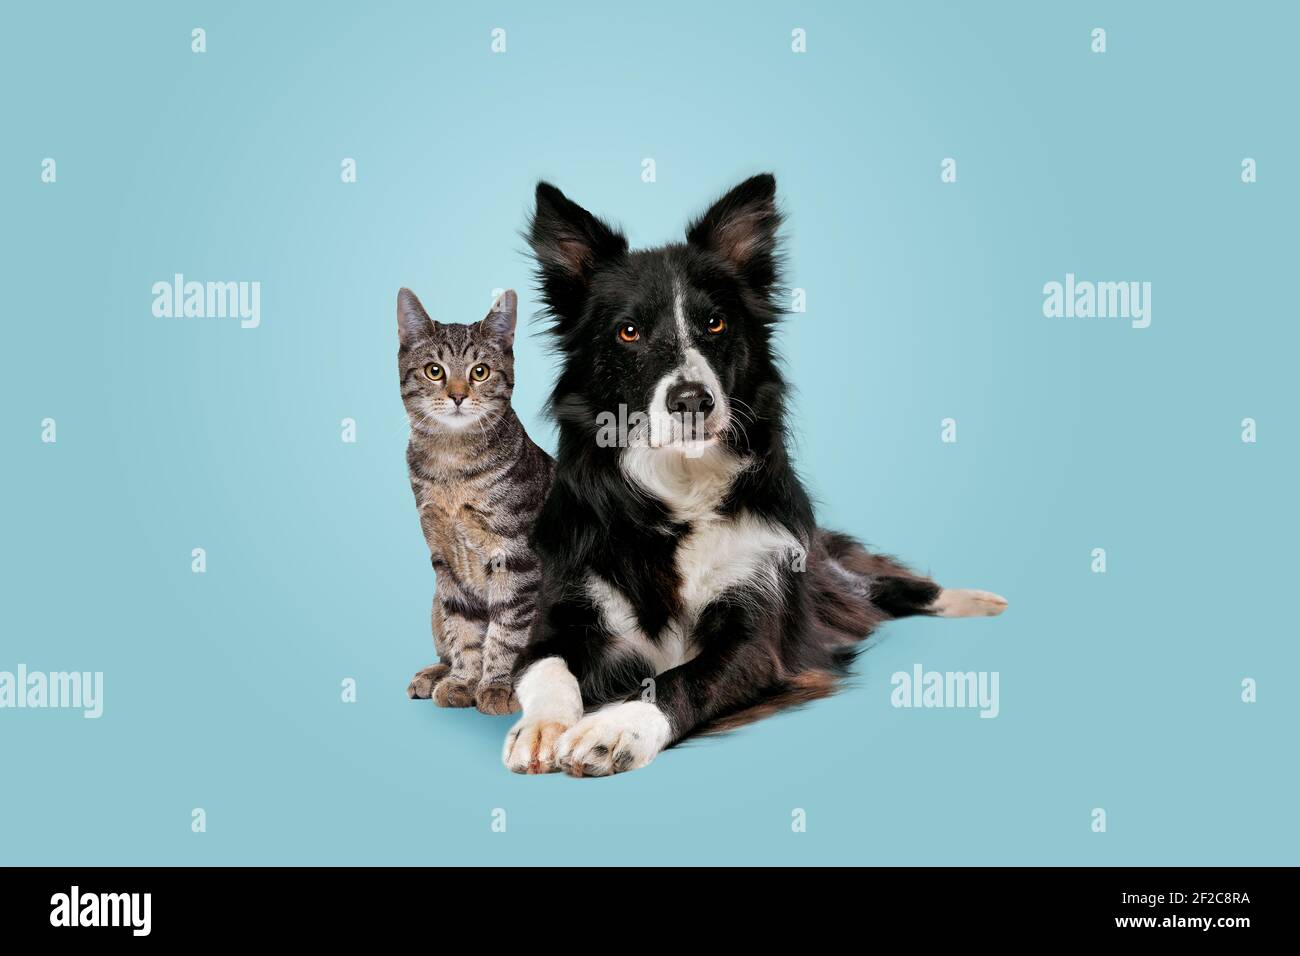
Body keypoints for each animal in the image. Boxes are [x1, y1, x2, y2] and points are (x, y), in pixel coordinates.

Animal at [400, 287, 553, 712]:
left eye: (480, 371)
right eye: (434, 371)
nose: (457, 396)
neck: (453, 467)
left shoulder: (515, 558)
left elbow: (506, 629)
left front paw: (497, 685)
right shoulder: (444, 560)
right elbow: (463, 629)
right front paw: (464, 680)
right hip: (434, 601)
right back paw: (434, 675)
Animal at [499, 174, 1003, 780]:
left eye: (715, 323)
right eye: (629, 332)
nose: (692, 400)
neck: (679, 493)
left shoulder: (757, 636)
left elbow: (681, 679)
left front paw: (617, 726)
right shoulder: (559, 613)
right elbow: (545, 667)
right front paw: (543, 727)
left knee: (883, 586)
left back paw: (972, 599)